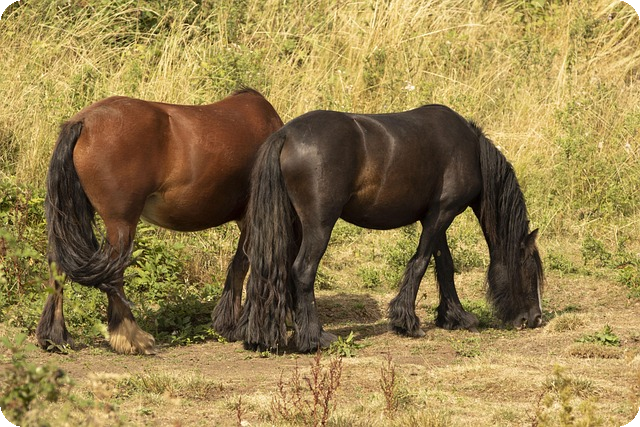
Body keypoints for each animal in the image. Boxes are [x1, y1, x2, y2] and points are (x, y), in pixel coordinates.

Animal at [36, 88, 283, 354]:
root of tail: (83, 122)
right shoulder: (251, 217)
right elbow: (241, 265)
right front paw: (232, 326)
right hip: (121, 224)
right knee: (114, 273)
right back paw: (132, 337)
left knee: (59, 265)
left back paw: (55, 337)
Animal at [237, 104, 544, 353]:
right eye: (529, 268)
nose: (535, 318)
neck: (470, 150)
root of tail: (286, 135)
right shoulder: (441, 214)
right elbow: (420, 263)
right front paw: (408, 322)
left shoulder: (435, 217)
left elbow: (444, 265)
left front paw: (456, 317)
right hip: (319, 227)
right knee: (302, 271)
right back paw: (315, 338)